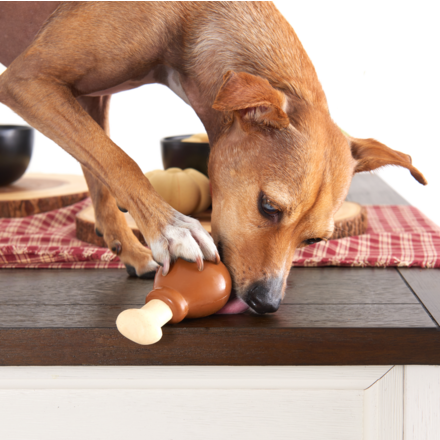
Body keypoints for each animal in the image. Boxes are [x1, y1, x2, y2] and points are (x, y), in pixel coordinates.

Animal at [0, 1, 426, 314]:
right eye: (268, 207)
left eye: (315, 239)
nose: (266, 303)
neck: (189, 19)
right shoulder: (28, 81)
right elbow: (118, 159)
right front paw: (171, 230)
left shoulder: (89, 96)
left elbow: (98, 169)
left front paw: (129, 247)